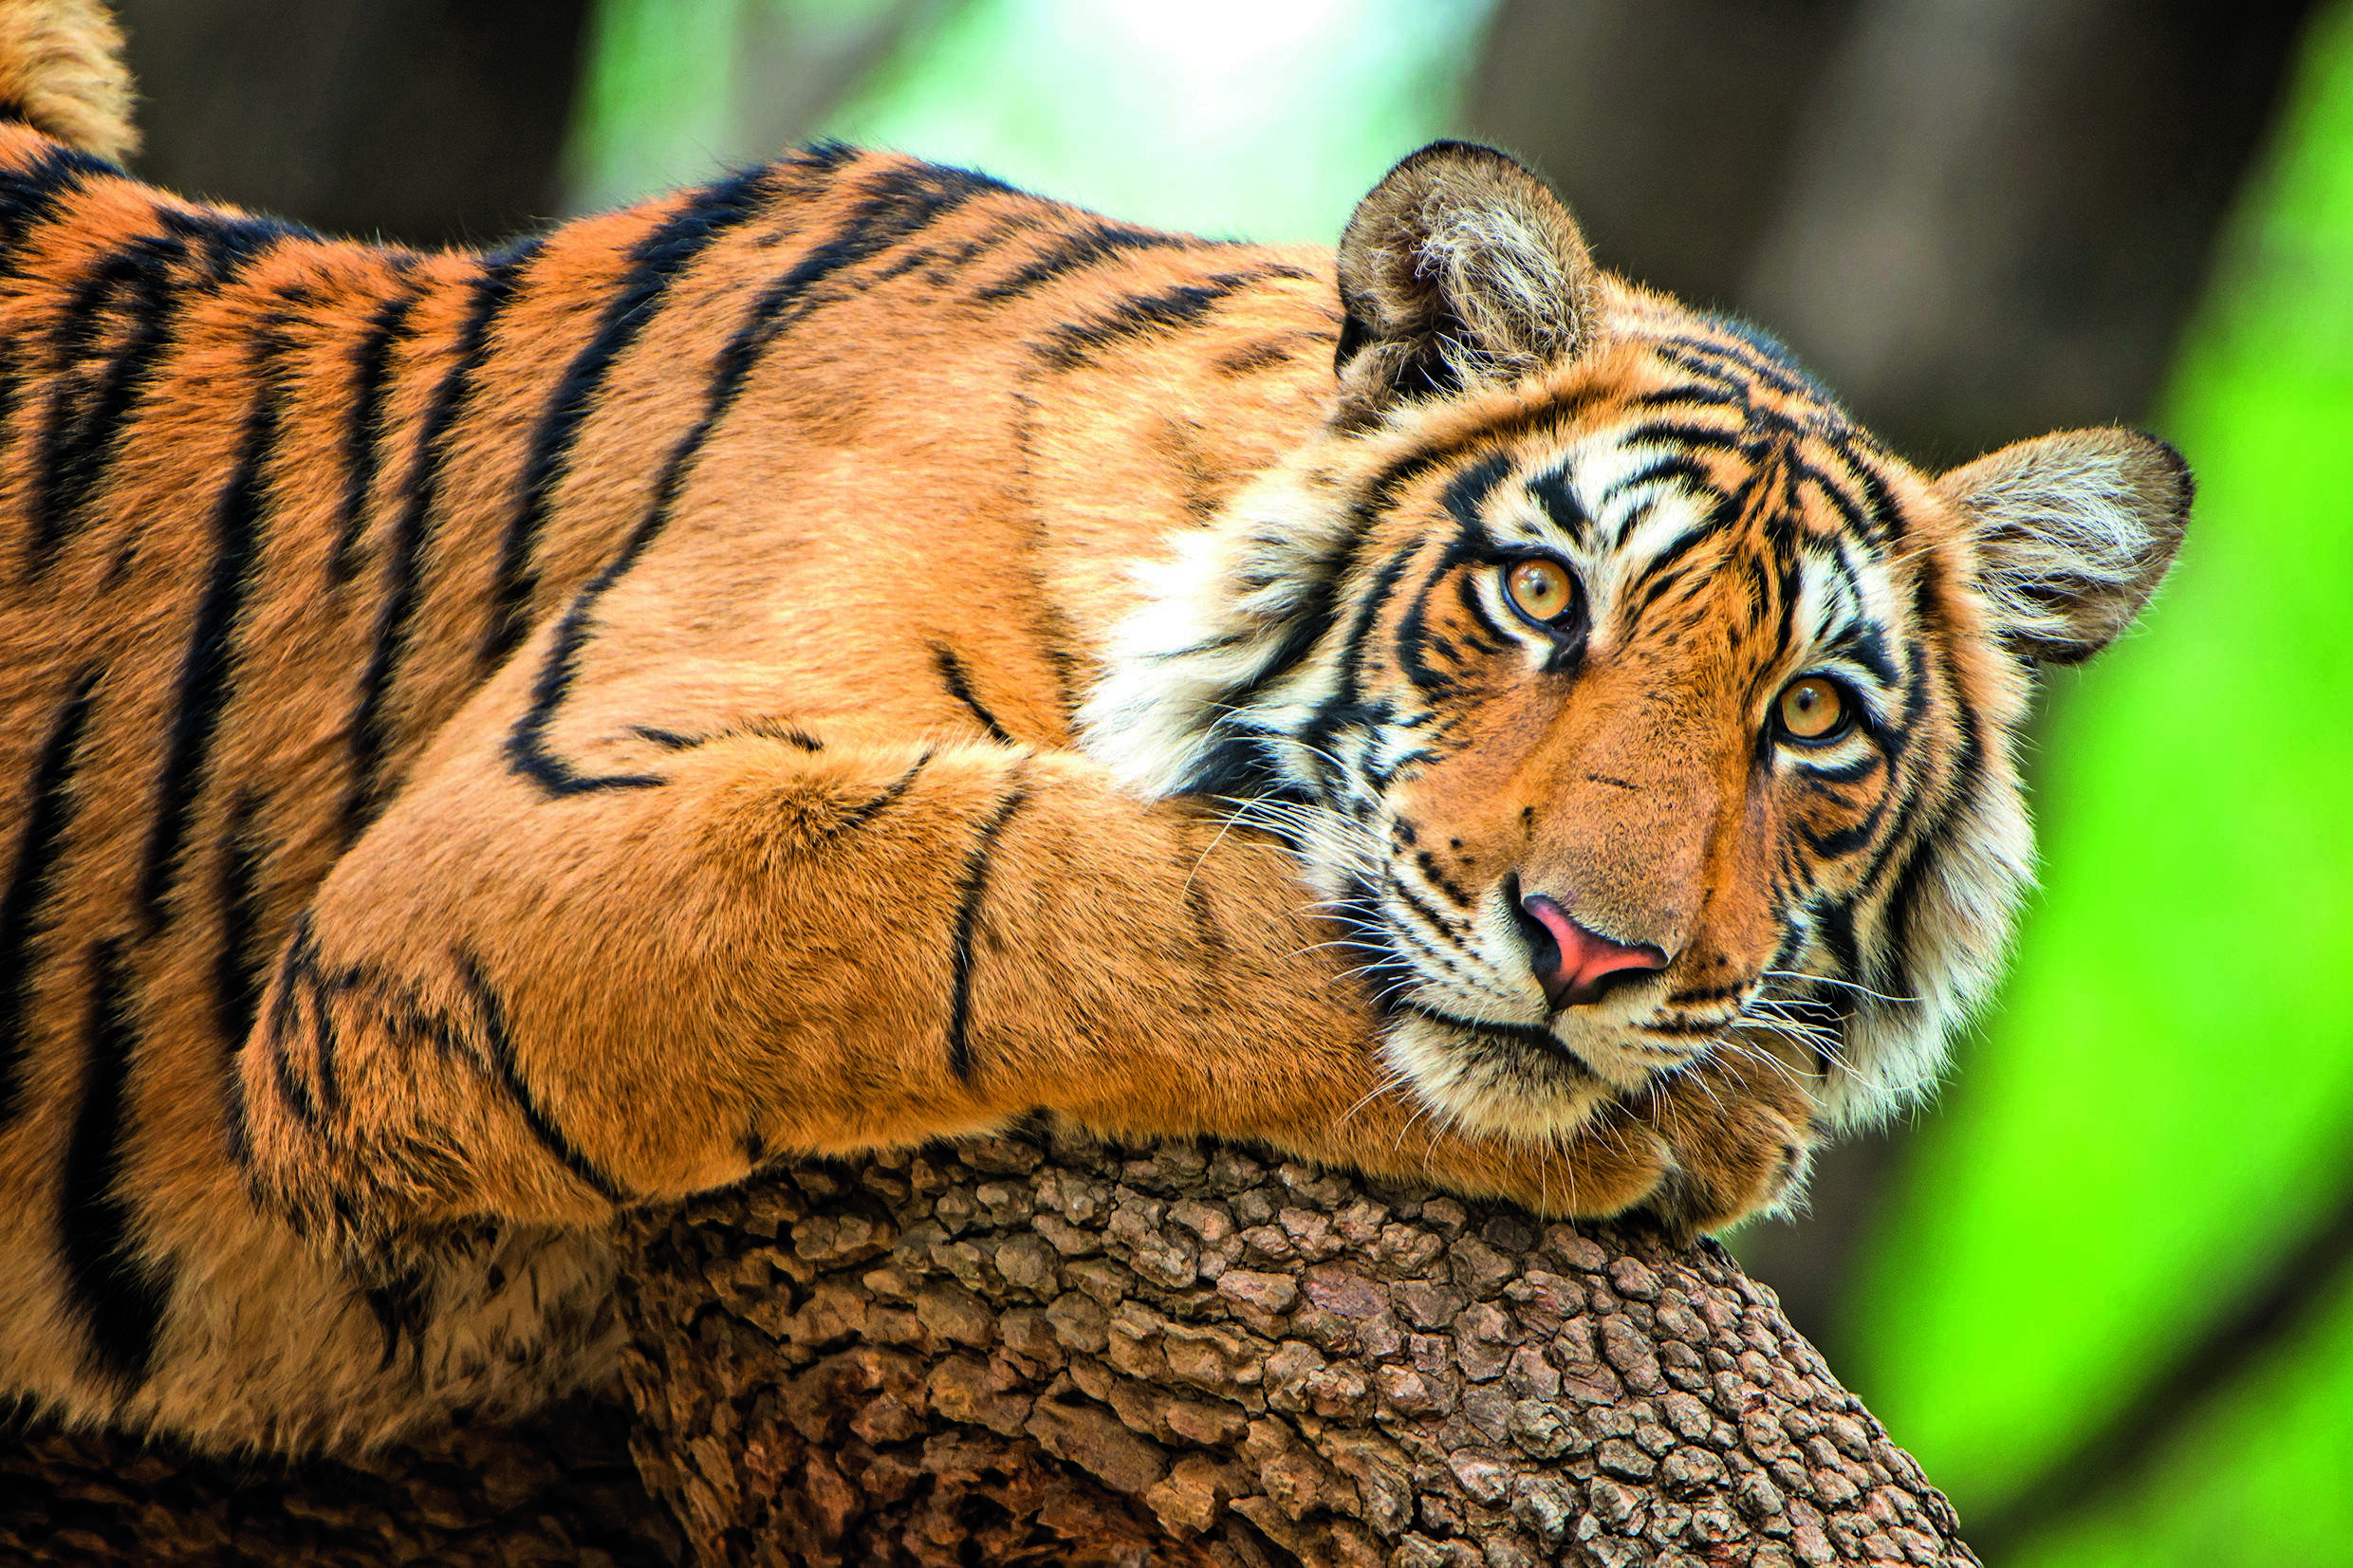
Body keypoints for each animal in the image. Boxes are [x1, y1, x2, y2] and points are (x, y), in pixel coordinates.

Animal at [0, 0, 2188, 1456]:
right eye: (1538, 598)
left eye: (1810, 717)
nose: (1596, 953)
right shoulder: (517, 852)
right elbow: (1048, 895)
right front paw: (1706, 1113)